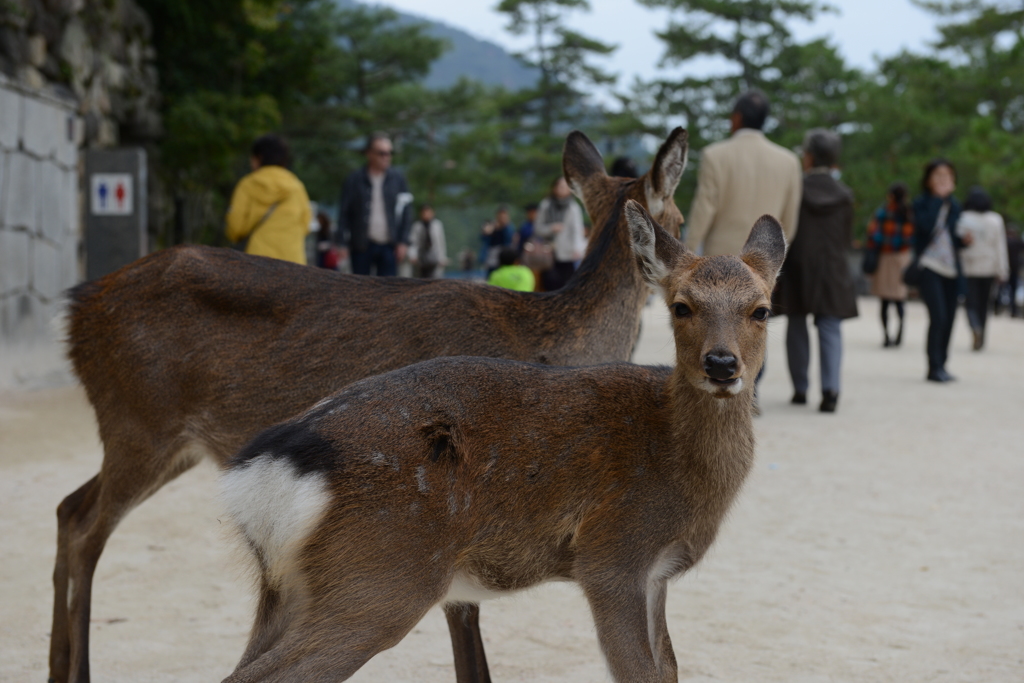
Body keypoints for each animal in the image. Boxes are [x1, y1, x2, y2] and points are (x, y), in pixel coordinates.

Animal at [48, 129, 688, 683]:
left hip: (167, 442)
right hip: (140, 423)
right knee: (83, 525)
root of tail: (75, 309)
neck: (550, 342)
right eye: (680, 218)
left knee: (66, 506)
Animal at [220, 202, 786, 683]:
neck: (677, 465)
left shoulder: (657, 575)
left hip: (286, 587)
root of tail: (261, 468)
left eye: (762, 309)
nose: (721, 364)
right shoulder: (611, 554)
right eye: (681, 306)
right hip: (381, 576)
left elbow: (669, 668)